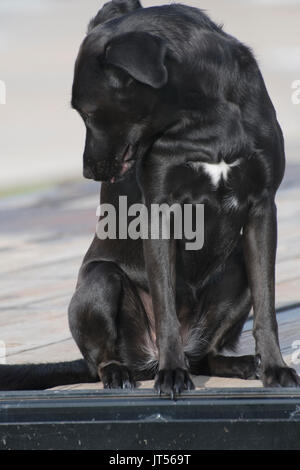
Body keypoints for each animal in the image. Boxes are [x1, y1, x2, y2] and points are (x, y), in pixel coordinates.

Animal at [1, 1, 298, 394]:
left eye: (89, 112)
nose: (87, 172)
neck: (204, 117)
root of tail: (145, 359)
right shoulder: (161, 212)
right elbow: (165, 304)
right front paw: (172, 374)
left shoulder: (261, 208)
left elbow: (267, 307)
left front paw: (276, 368)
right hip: (100, 280)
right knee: (101, 358)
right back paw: (124, 371)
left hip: (236, 270)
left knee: (208, 354)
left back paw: (241, 363)